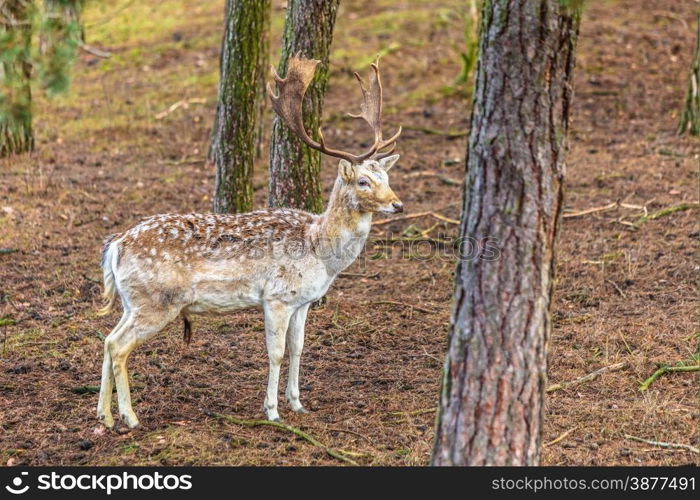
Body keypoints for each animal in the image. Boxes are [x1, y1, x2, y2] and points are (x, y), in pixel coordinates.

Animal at [97, 55, 404, 430]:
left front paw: (298, 403)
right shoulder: (276, 297)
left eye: (385, 177)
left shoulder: (303, 301)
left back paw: (104, 415)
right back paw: (130, 417)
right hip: (158, 301)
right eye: (363, 181)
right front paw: (272, 410)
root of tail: (116, 245)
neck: (320, 250)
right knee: (119, 346)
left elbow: (298, 348)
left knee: (108, 339)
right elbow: (275, 353)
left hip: (133, 300)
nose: (398, 204)